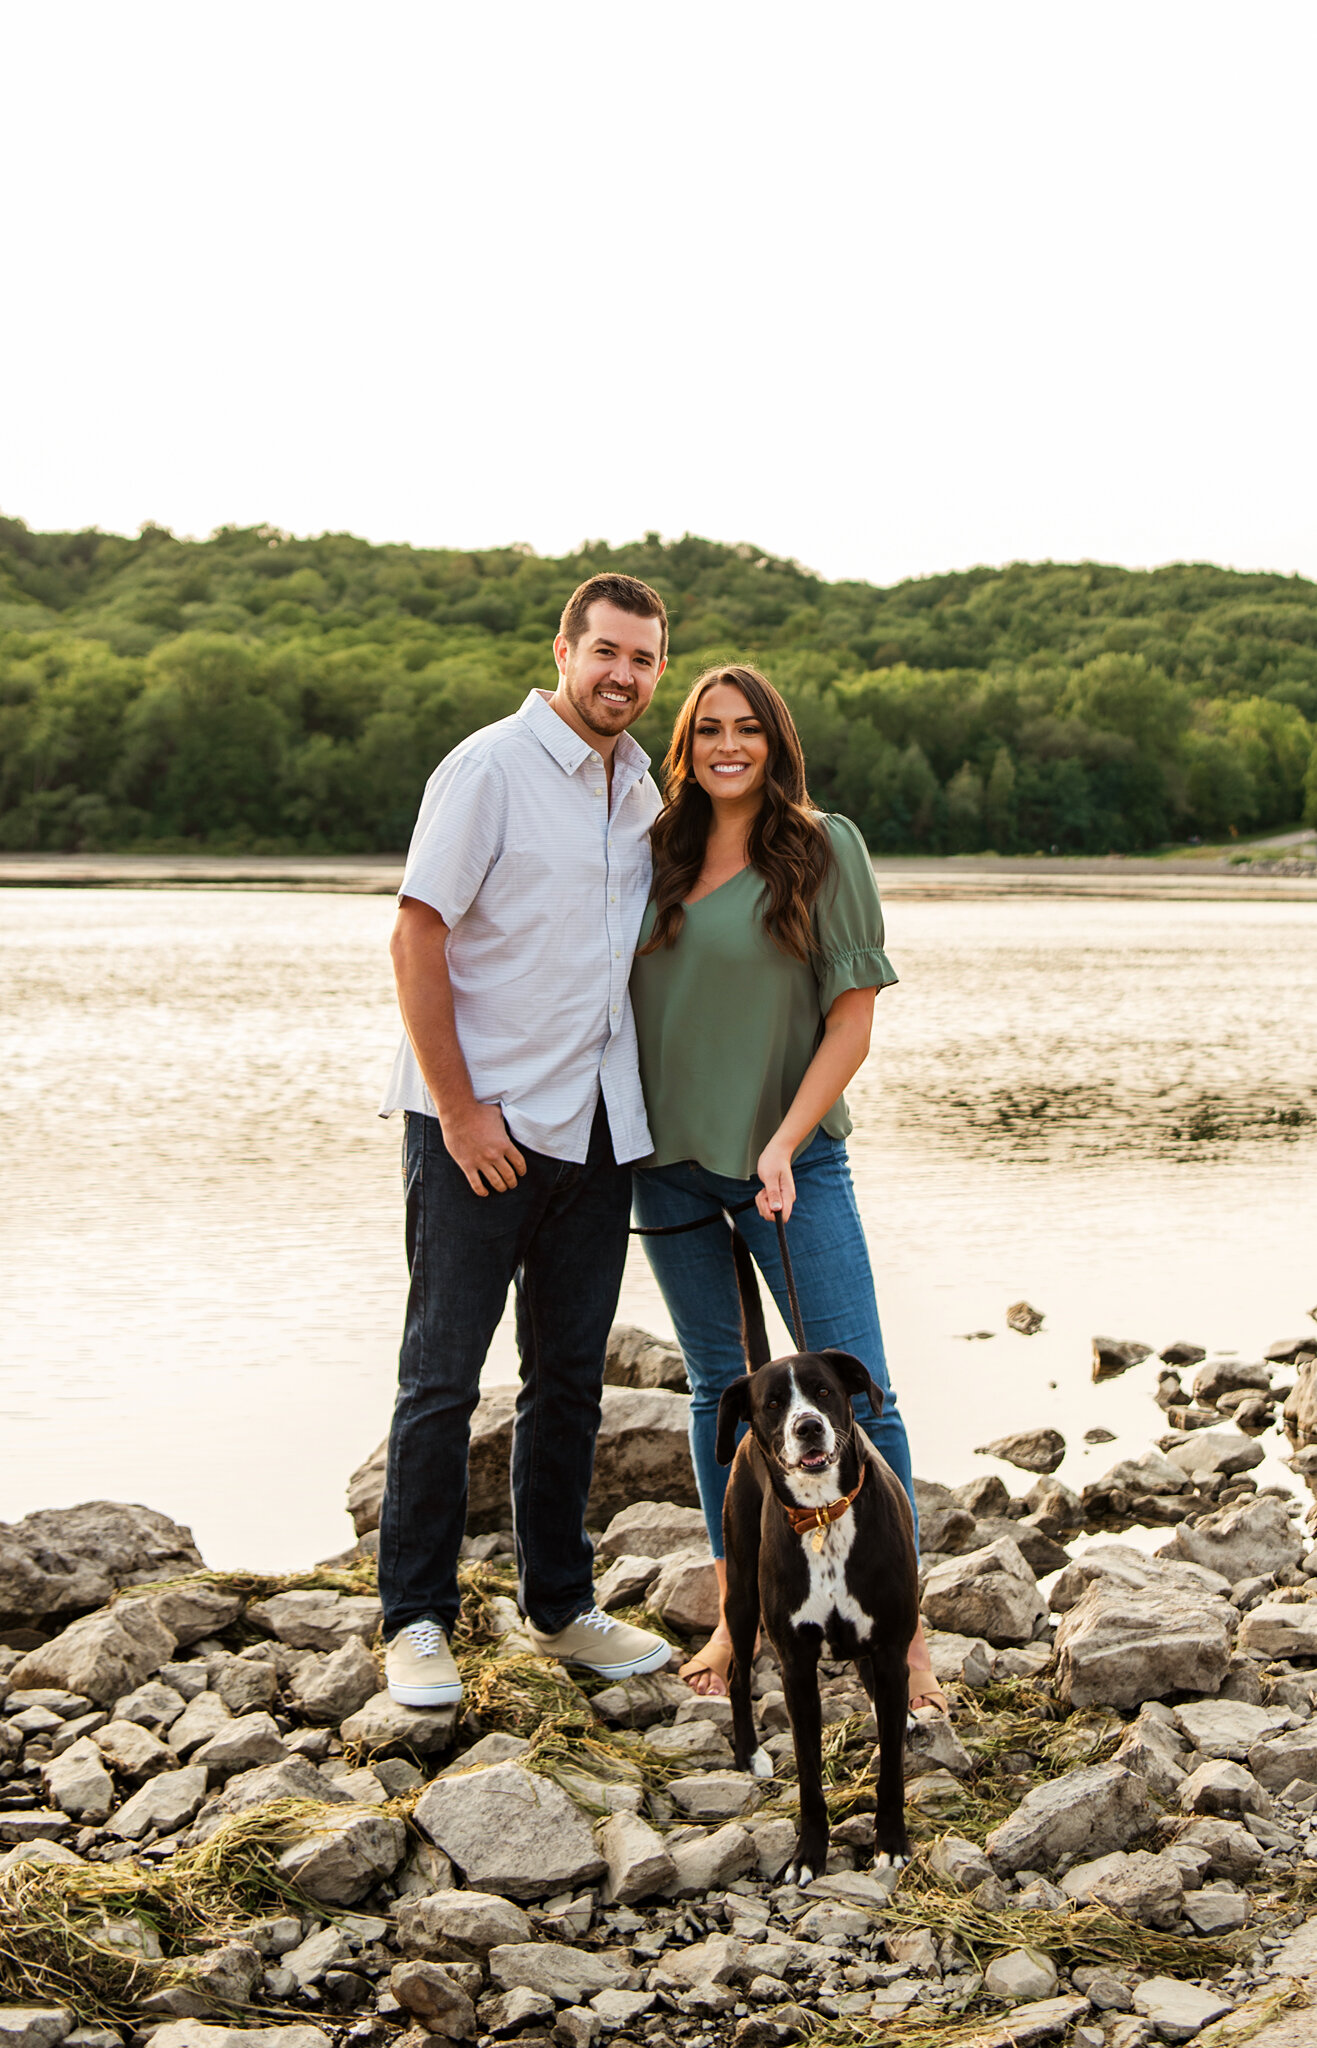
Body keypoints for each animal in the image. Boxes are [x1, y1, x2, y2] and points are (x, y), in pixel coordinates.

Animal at [720, 1220, 917, 1875]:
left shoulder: (889, 1646)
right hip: (741, 1594)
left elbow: (890, 1769)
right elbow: (808, 1774)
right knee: (736, 1673)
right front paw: (809, 1852)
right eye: (773, 1404)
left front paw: (890, 1841)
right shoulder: (796, 1667)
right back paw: (749, 1754)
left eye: (825, 1392)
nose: (807, 1427)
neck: (825, 1515)